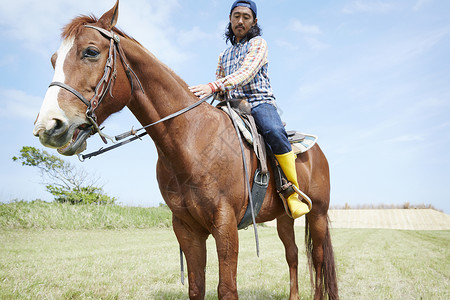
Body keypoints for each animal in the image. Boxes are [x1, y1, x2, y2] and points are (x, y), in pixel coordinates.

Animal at [32, 1, 338, 298]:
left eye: (91, 51)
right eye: (53, 60)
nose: (48, 127)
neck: (193, 139)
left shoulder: (225, 225)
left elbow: (227, 289)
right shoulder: (187, 228)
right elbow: (196, 286)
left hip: (318, 214)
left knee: (318, 259)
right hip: (284, 217)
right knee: (293, 255)